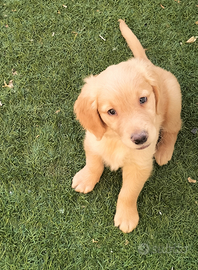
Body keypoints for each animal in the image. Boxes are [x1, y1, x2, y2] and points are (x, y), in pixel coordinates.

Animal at [72, 20, 182, 233]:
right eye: (111, 111)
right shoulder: (93, 141)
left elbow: (128, 193)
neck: (116, 140)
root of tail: (148, 64)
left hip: (173, 104)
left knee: (173, 129)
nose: (141, 138)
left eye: (143, 99)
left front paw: (126, 217)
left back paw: (164, 151)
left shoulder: (140, 165)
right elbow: (93, 163)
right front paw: (85, 178)